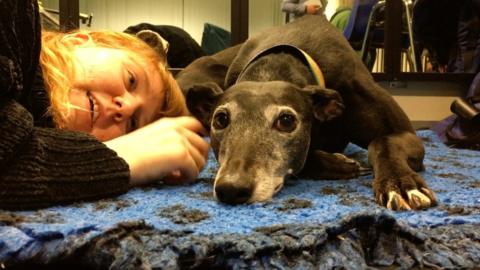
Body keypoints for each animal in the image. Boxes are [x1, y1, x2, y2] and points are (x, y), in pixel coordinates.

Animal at [177, 14, 438, 211]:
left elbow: (383, 143)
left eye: (286, 120)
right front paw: (339, 164)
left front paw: (400, 184)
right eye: (221, 119)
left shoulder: (405, 134)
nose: (231, 189)